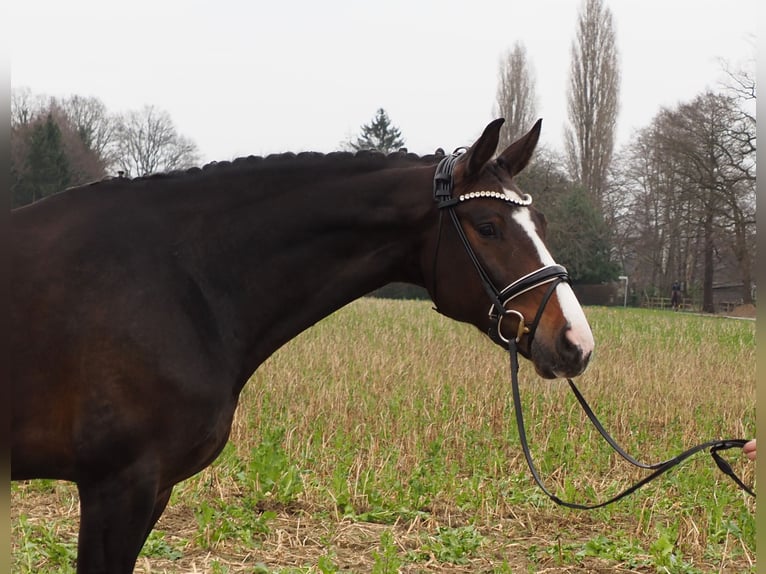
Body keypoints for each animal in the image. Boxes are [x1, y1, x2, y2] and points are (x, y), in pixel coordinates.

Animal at [13, 119, 592, 572]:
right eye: (488, 227)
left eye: (540, 223)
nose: (575, 342)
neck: (177, 279)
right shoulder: (119, 487)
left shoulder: (152, 490)